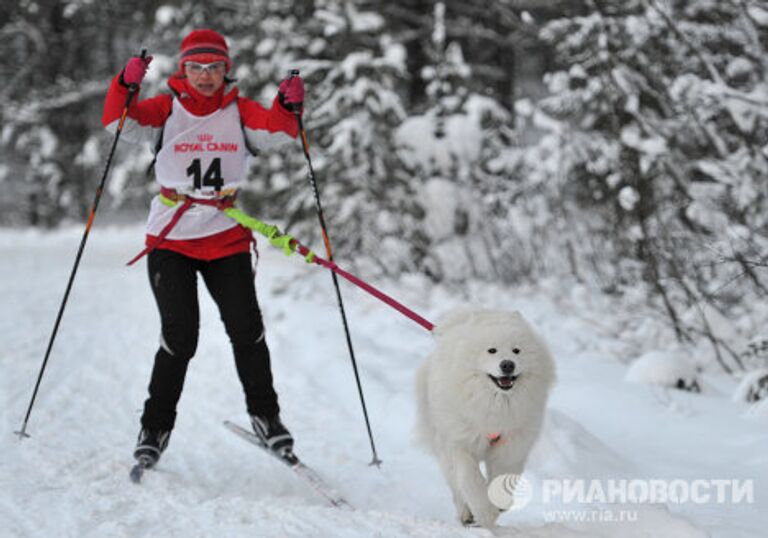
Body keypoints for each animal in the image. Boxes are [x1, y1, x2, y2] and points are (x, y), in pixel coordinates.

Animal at [416, 308, 556, 524]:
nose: (507, 365)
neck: (495, 405)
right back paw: (466, 514)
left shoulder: (511, 446)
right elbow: (471, 479)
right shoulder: (460, 443)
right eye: (492, 350)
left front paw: (499, 503)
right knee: (455, 486)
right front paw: (485, 512)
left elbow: (502, 479)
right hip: (443, 447)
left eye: (516, 350)